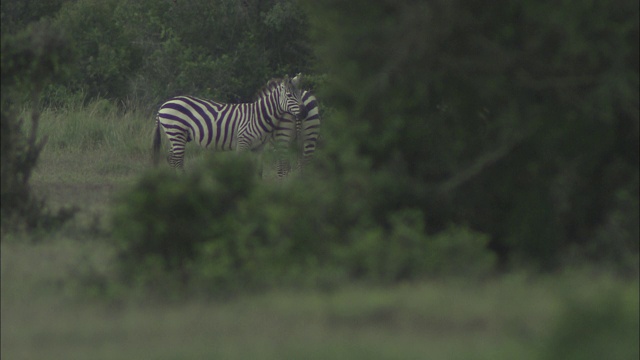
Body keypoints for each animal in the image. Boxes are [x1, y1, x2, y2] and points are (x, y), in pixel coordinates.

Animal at [152, 76, 308, 169]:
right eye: (289, 95)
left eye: (300, 95)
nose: (304, 112)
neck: (259, 115)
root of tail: (164, 105)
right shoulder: (242, 143)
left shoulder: (258, 148)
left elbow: (258, 170)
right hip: (176, 131)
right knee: (177, 161)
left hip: (178, 135)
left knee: (172, 158)